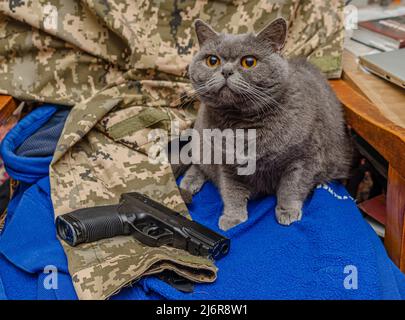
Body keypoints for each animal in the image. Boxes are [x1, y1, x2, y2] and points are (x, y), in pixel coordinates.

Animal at [178, 18, 352, 230]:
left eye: (249, 62)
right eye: (212, 61)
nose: (226, 71)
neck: (243, 126)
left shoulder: (306, 157)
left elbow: (291, 187)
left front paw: (287, 211)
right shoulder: (227, 164)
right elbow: (231, 191)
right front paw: (233, 219)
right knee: (198, 162)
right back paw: (188, 183)